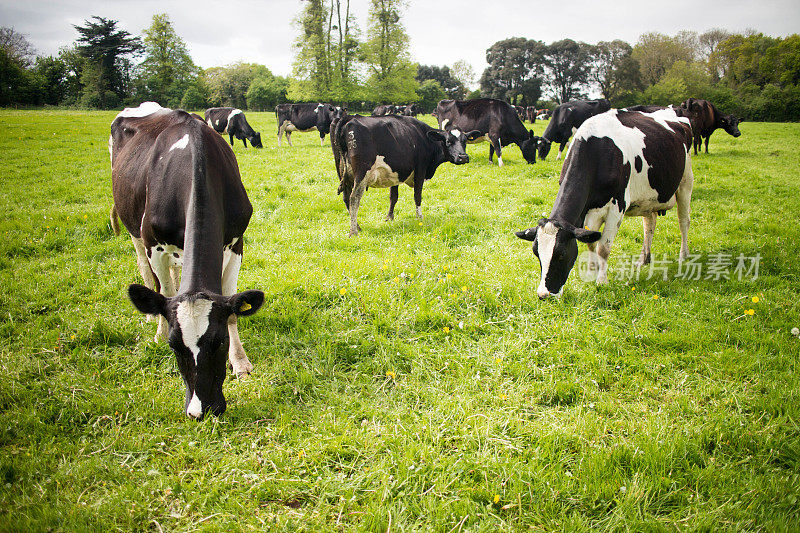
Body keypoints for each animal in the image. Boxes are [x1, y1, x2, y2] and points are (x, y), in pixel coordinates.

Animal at [109, 102, 264, 420]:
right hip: (133, 230)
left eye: (220, 342)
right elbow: (165, 292)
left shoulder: (237, 242)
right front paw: (159, 328)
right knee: (149, 275)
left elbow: (232, 308)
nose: (200, 411)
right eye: (174, 345)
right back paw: (150, 317)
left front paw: (240, 363)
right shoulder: (153, 244)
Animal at [332, 113, 482, 234]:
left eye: (465, 141)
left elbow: (393, 197)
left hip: (343, 173)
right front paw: (419, 218)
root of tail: (348, 118)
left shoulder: (395, 173)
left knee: (346, 198)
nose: (463, 157)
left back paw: (358, 226)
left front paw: (389, 218)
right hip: (362, 172)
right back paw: (353, 231)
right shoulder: (420, 169)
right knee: (354, 198)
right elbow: (417, 196)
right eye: (448, 142)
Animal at [520, 108, 692, 300]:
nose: (544, 294)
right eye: (536, 253)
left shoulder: (617, 207)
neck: (597, 153)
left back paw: (683, 256)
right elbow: (591, 241)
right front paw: (592, 271)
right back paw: (643, 260)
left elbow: (603, 247)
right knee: (649, 225)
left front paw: (602, 281)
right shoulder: (588, 213)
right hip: (648, 198)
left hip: (686, 182)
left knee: (683, 221)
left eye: (561, 254)